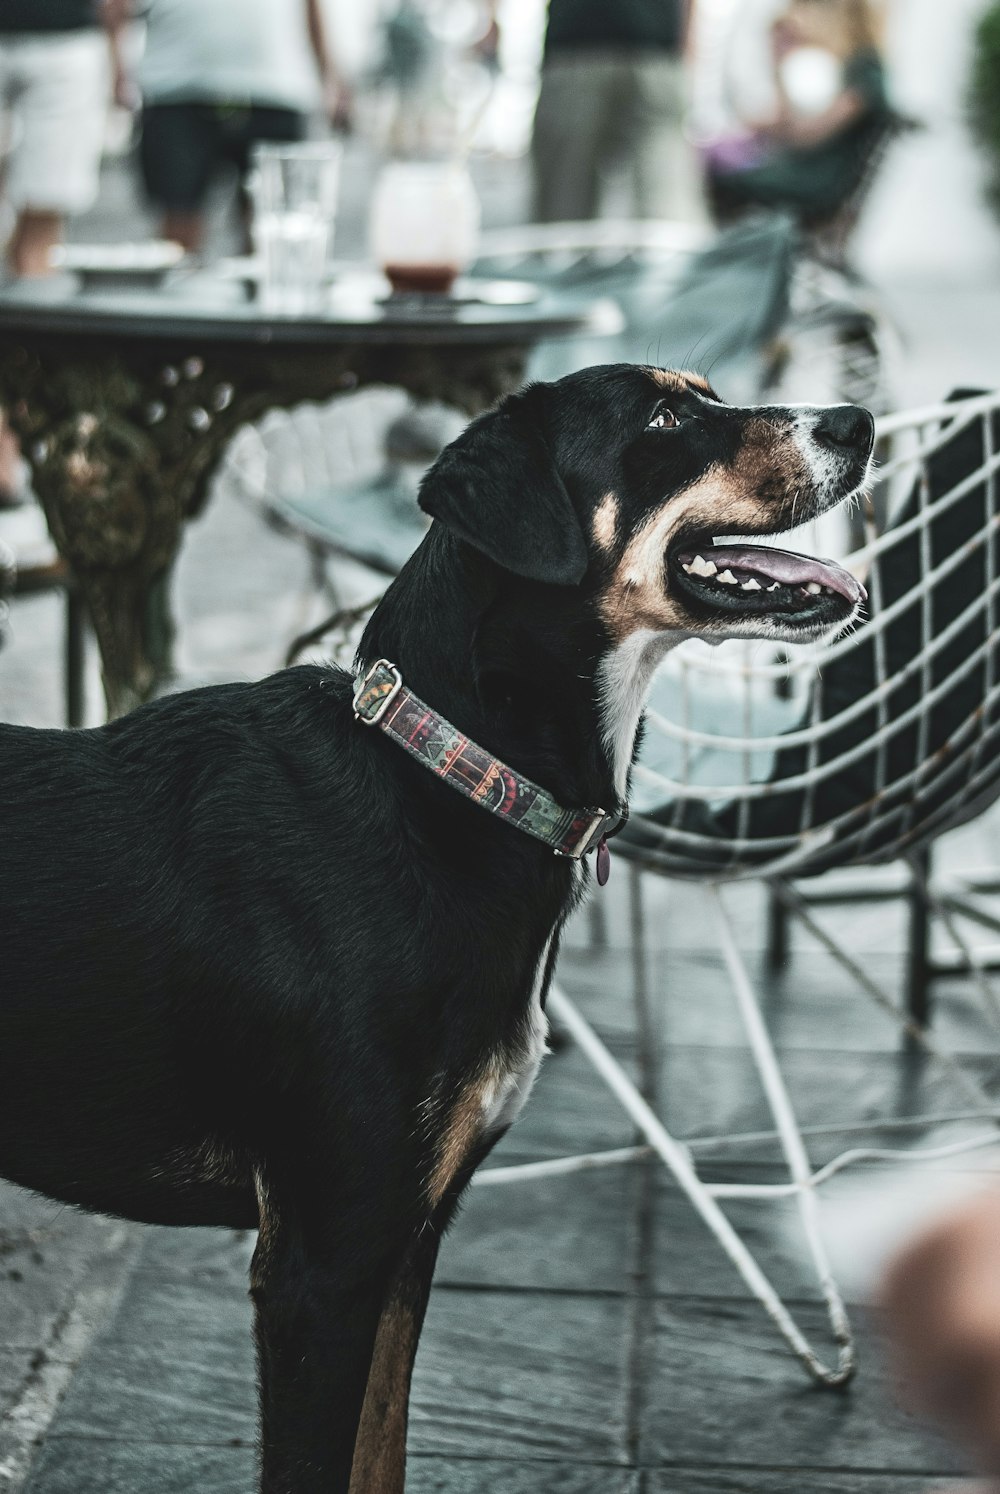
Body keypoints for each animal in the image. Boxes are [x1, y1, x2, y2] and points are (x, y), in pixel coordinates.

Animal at [0, 364, 866, 1494]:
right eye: (667, 417)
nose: (857, 420)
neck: (449, 777)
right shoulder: (321, 1263)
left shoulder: (409, 1237)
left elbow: (384, 1452)